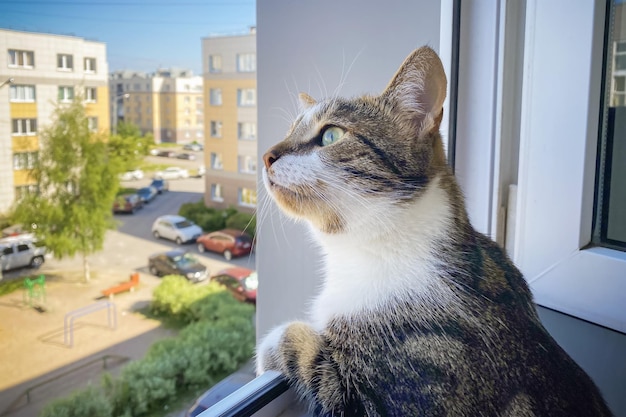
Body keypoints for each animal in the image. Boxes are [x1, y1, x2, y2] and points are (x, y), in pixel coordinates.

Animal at [255, 46, 608, 416]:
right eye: (289, 131)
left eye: (331, 135)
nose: (265, 155)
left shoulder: (382, 398)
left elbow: (303, 348)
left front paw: (269, 348)